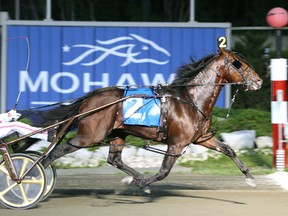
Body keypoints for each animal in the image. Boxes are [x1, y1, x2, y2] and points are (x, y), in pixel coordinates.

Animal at [37, 46, 262, 192]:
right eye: (238, 64)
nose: (259, 81)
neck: (190, 99)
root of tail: (90, 98)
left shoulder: (202, 137)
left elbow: (229, 150)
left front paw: (250, 177)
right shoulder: (177, 143)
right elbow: (163, 172)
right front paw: (141, 184)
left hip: (117, 133)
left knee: (114, 159)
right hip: (89, 136)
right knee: (57, 151)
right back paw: (36, 176)